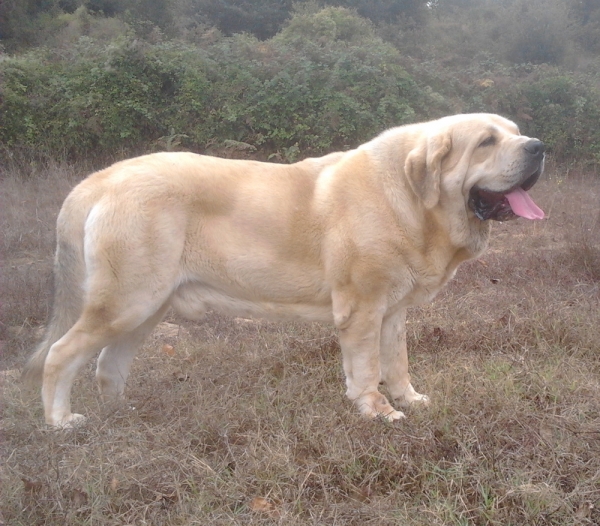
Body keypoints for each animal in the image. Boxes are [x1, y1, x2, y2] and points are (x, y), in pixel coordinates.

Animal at [23, 113, 548, 426]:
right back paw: (60, 422)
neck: (409, 197)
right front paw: (376, 411)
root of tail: (100, 180)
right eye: (486, 142)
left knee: (108, 366)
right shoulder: (362, 310)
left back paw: (123, 413)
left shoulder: (392, 312)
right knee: (61, 355)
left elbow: (396, 363)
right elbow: (367, 369)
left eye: (515, 131)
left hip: (145, 309)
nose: (538, 145)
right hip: (125, 303)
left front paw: (409, 400)